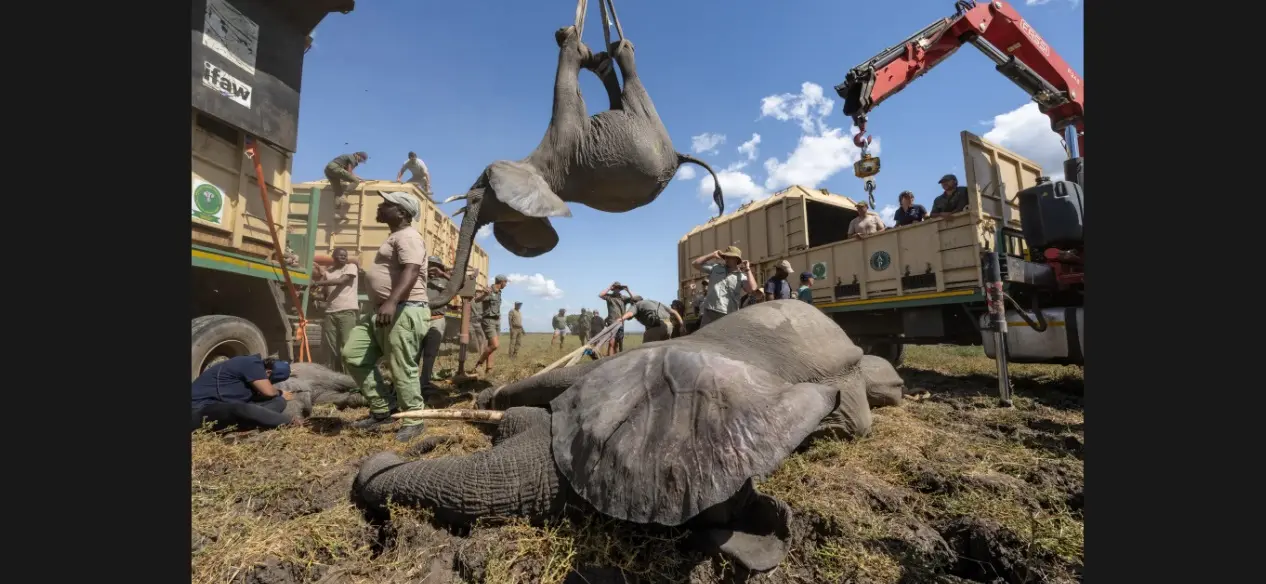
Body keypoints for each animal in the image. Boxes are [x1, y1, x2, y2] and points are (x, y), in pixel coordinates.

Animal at [425, 6, 724, 309]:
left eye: (480, 189)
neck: (542, 173)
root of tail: (678, 157)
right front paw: (584, 50)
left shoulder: (566, 134)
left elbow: (566, 88)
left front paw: (572, 40)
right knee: (620, 94)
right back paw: (604, 61)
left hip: (649, 120)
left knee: (629, 81)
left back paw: (617, 50)